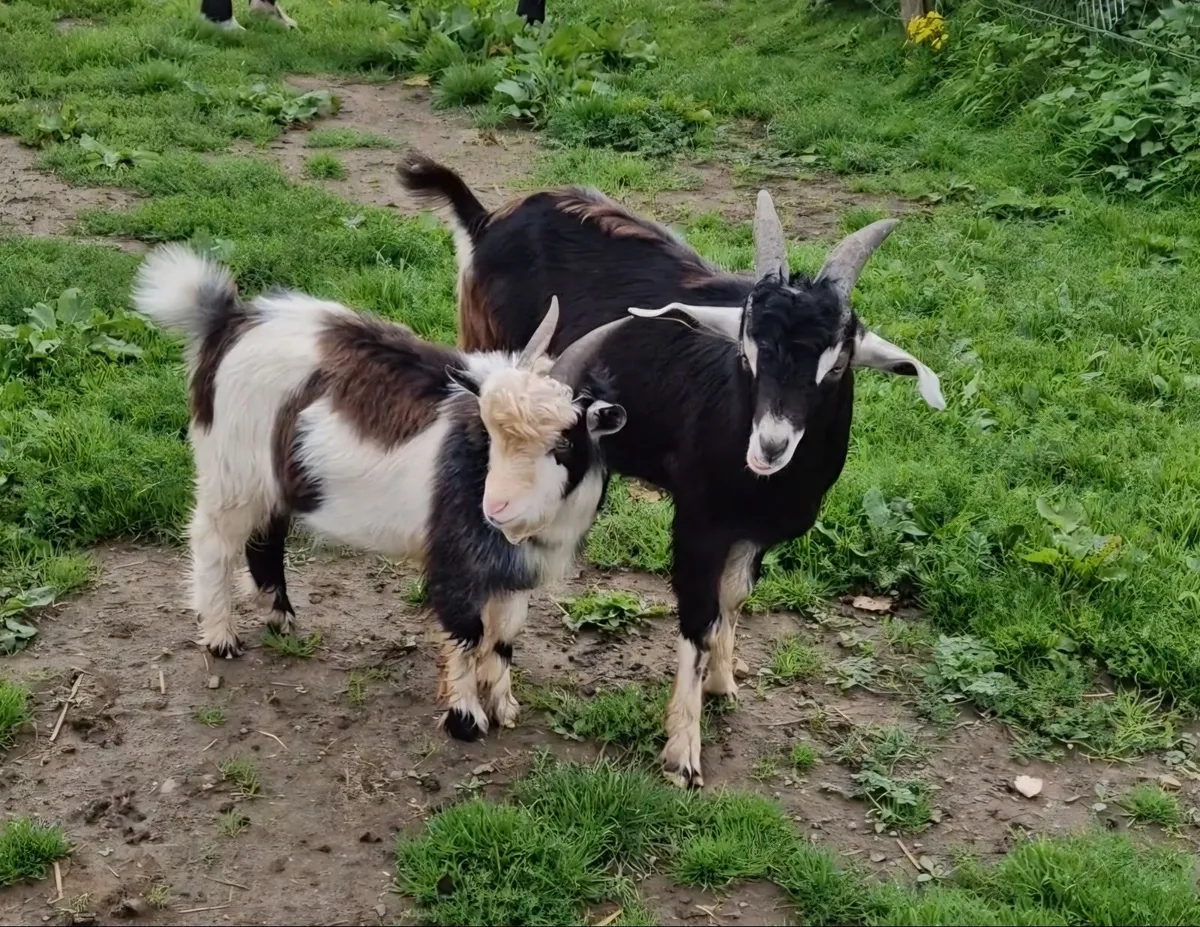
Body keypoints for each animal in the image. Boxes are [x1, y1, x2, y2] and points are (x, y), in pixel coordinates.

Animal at [132, 245, 629, 741]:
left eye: (565, 442)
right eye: (489, 432)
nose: (496, 508)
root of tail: (228, 320)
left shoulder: (513, 573)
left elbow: (504, 636)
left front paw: (505, 708)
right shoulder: (455, 562)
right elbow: (466, 635)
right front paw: (466, 719)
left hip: (275, 481)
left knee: (266, 540)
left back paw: (280, 618)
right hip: (232, 474)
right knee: (213, 541)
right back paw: (220, 638)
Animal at [398, 154, 946, 786]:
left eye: (837, 364)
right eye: (746, 353)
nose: (770, 446)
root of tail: (486, 220)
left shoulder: (754, 532)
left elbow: (733, 599)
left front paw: (723, 683)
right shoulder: (699, 522)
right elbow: (698, 619)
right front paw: (684, 752)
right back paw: (480, 693)